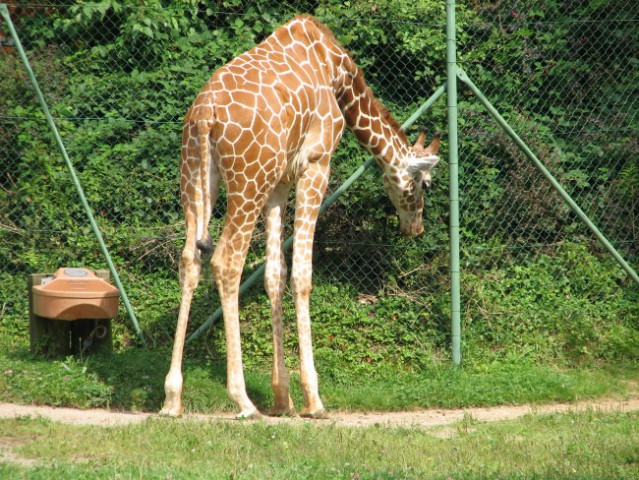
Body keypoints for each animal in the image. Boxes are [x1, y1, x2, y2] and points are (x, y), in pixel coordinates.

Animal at [162, 15, 440, 418]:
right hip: (248, 180)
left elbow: (274, 276)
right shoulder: (315, 164)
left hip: (195, 175)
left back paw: (172, 397)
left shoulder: (279, 183)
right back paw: (242, 399)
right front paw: (312, 399)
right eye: (426, 184)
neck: (336, 70)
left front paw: (283, 399)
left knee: (190, 259)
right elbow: (301, 275)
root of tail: (205, 115)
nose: (415, 227)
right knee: (227, 261)